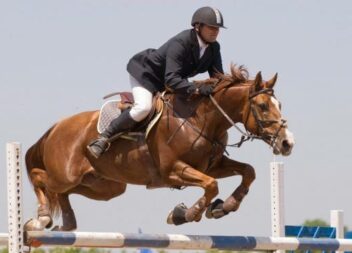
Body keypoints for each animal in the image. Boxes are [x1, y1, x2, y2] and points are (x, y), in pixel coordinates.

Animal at [24, 65, 294, 231]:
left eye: (279, 104)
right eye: (263, 106)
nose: (287, 143)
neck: (200, 120)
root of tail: (56, 127)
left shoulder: (213, 165)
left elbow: (248, 172)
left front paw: (224, 207)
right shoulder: (172, 170)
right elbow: (210, 185)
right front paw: (185, 214)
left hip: (105, 186)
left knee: (63, 192)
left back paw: (66, 223)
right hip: (66, 174)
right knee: (40, 177)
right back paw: (41, 219)